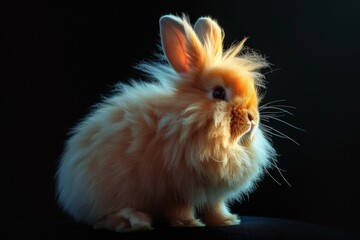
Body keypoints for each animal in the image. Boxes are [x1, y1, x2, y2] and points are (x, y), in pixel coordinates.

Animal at [55, 13, 276, 232]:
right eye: (219, 93)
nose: (253, 118)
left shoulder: (212, 193)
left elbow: (214, 207)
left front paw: (227, 221)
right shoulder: (175, 189)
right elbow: (179, 208)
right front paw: (189, 223)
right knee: (102, 218)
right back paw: (134, 220)